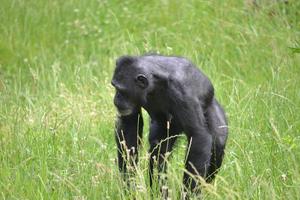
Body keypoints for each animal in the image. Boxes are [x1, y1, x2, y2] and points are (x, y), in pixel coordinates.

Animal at [111, 54, 229, 195]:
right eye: (115, 87)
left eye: (121, 91)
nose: (116, 97)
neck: (154, 84)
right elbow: (129, 124)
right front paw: (129, 186)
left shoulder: (182, 95)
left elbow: (198, 136)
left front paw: (189, 193)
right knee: (159, 151)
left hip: (211, 107)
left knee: (218, 145)